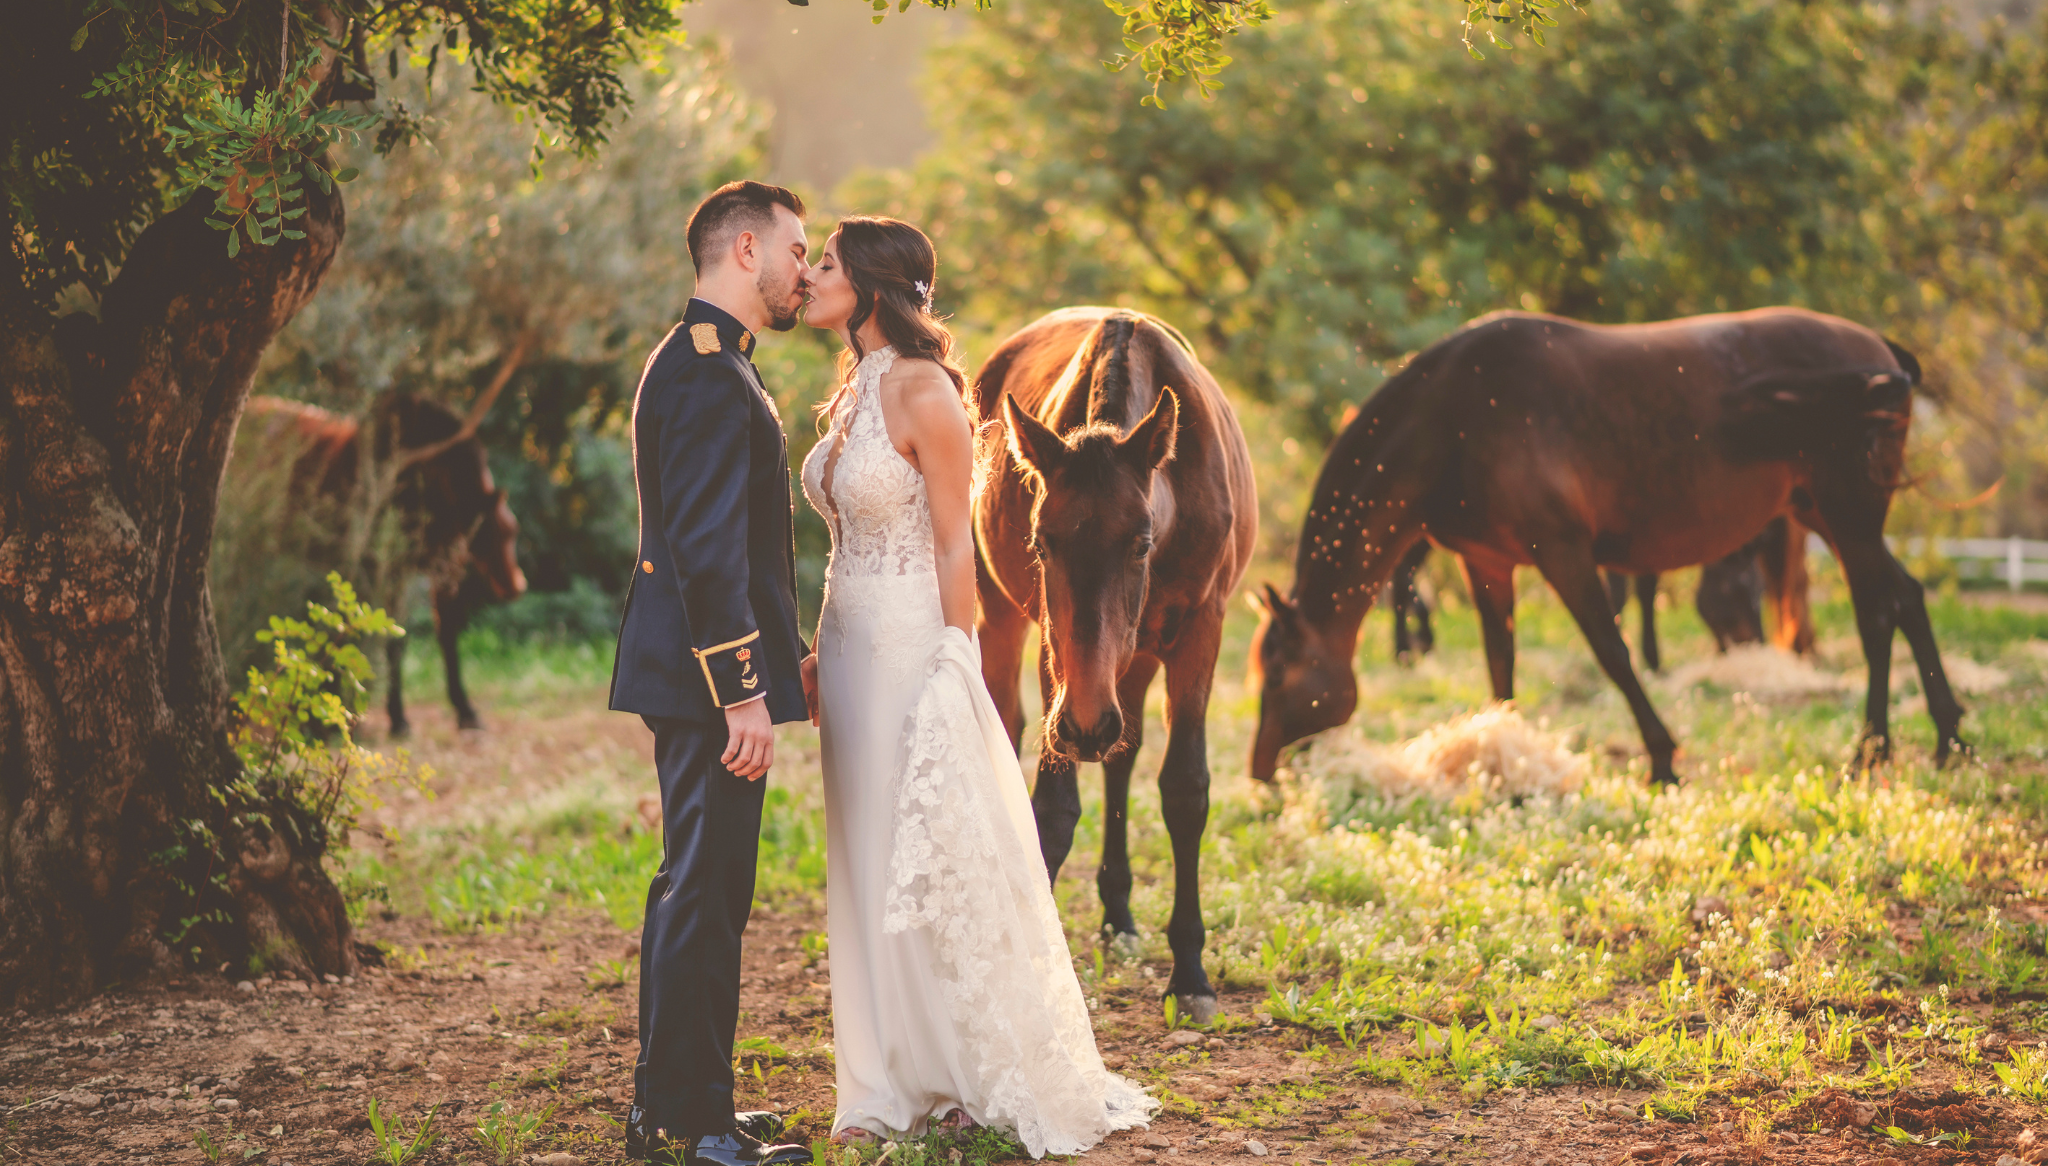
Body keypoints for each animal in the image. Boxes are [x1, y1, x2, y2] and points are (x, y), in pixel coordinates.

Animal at [238, 395, 528, 733]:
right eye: (500, 533)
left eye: (513, 531)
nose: (516, 584)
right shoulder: (389, 571)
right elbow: (389, 640)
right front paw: (394, 717)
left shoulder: (441, 571)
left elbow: (447, 634)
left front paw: (464, 709)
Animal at [970, 305, 1253, 1012]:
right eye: (1041, 543)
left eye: (1141, 542)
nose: (1086, 724)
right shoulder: (1059, 652)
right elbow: (1053, 808)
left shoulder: (1200, 631)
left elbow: (1185, 790)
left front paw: (1190, 971)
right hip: (1005, 619)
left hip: (1139, 658)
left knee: (1126, 753)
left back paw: (1119, 914)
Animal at [1245, 307, 1966, 782]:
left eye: (1278, 675)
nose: (1259, 770)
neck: (1455, 415)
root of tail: (1879, 350)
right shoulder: (1488, 563)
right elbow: (1500, 660)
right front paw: (1507, 746)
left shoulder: (1564, 552)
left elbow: (1612, 653)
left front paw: (1662, 760)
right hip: (1829, 516)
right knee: (1906, 598)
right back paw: (1947, 739)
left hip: (1850, 515)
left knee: (1877, 613)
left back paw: (1870, 750)